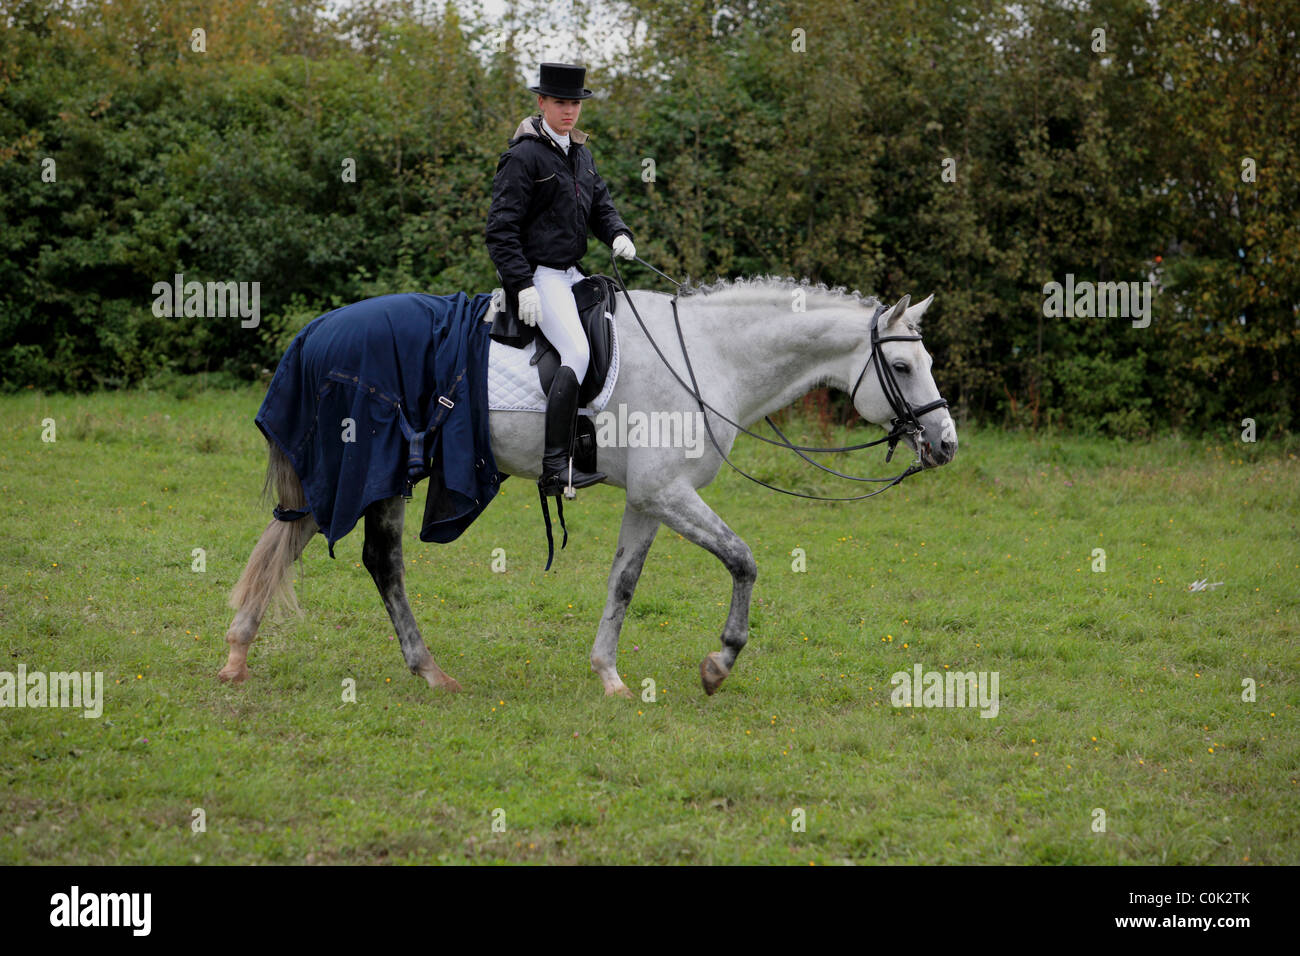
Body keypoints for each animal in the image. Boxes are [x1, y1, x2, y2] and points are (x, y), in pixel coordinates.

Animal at [220, 274, 956, 697]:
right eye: (900, 366)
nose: (946, 443)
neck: (708, 355)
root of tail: (317, 330)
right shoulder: (667, 493)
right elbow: (744, 560)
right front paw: (720, 662)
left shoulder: (648, 501)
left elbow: (623, 582)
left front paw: (609, 674)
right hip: (373, 470)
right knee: (373, 559)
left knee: (312, 544)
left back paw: (254, 651)